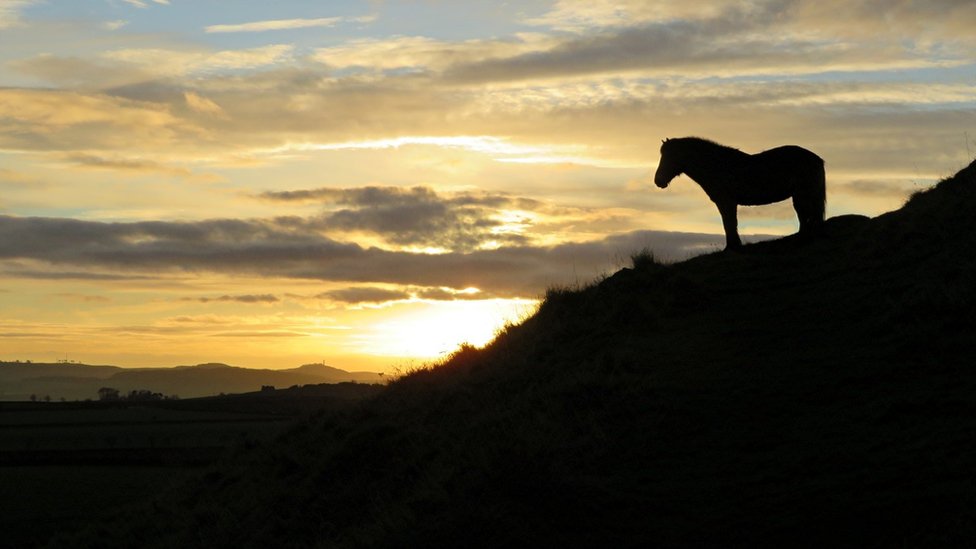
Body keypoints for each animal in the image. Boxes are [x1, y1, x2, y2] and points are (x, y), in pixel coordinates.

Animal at [656, 137, 824, 248]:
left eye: (669, 156)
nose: (658, 180)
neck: (717, 166)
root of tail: (816, 158)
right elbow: (730, 223)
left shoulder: (726, 202)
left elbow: (729, 223)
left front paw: (732, 247)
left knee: (805, 215)